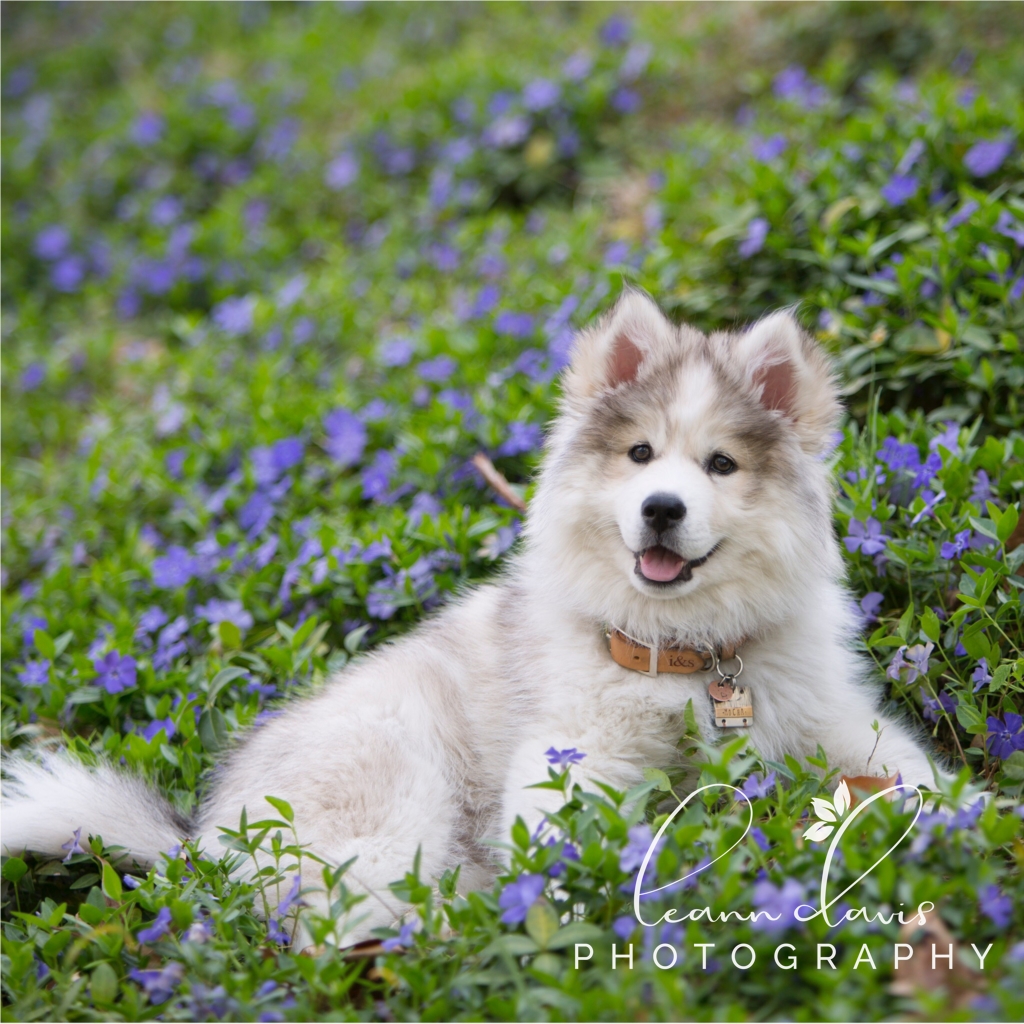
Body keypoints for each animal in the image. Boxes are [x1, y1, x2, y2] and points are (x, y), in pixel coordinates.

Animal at [2, 292, 942, 937]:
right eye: (640, 454)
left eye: (720, 464)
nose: (662, 509)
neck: (682, 655)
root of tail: (207, 846)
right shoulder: (573, 751)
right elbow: (568, 837)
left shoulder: (830, 719)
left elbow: (910, 770)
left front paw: (959, 820)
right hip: (395, 774)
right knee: (347, 913)